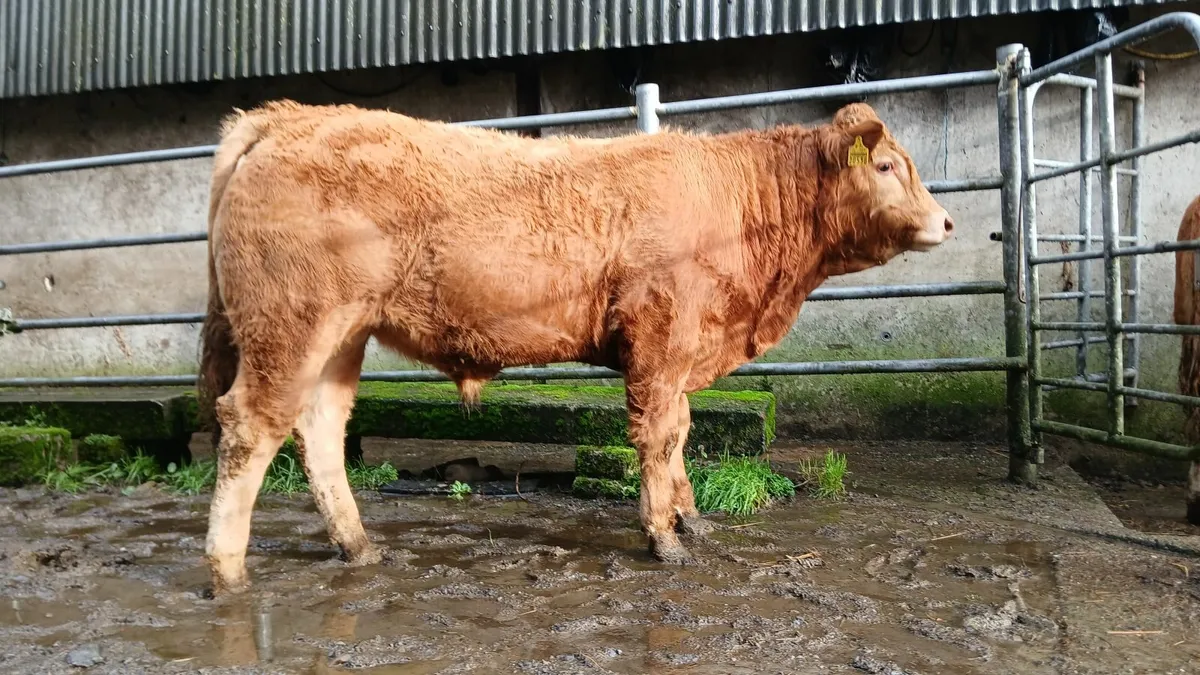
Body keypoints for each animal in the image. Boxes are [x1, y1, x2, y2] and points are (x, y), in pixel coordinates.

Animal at [197, 99, 955, 594]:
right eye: (887, 165)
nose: (946, 222)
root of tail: (288, 116)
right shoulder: (660, 339)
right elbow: (658, 435)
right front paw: (664, 536)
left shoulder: (679, 351)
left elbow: (681, 431)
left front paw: (691, 518)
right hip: (292, 325)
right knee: (252, 425)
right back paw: (227, 570)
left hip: (339, 337)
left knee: (319, 428)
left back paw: (357, 546)